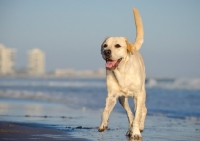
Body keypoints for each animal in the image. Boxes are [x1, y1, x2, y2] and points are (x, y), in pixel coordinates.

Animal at [98, 8, 147, 139]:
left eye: (117, 45)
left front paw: (136, 132)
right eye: (105, 45)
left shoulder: (138, 95)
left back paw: (139, 127)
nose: (106, 51)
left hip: (141, 93)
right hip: (122, 99)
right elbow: (105, 111)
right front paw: (103, 124)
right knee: (129, 113)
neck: (122, 72)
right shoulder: (112, 96)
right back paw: (130, 130)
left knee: (142, 110)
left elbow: (137, 115)